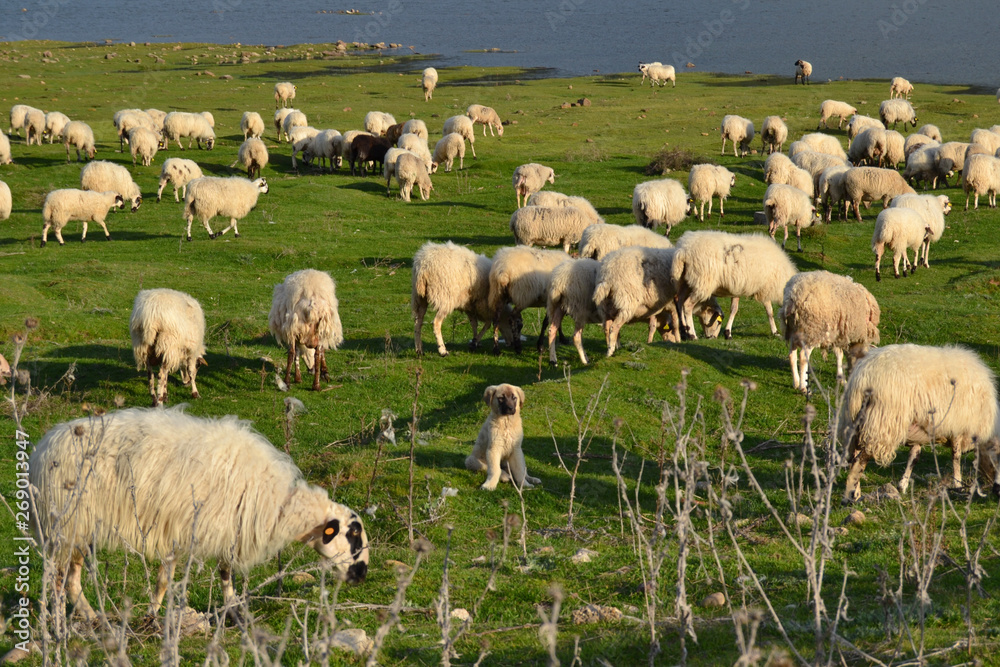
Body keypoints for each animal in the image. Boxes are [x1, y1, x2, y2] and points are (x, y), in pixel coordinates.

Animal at [29, 406, 368, 622]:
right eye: (353, 534)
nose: (362, 574)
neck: (279, 503)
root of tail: (41, 451)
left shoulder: (216, 529)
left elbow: (216, 575)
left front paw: (231, 610)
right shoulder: (192, 528)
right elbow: (177, 578)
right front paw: (155, 615)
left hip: (80, 528)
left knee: (70, 581)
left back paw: (91, 618)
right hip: (66, 523)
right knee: (59, 580)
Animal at [595, 246, 723, 356]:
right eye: (718, 323)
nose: (712, 338)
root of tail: (607, 276)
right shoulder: (673, 305)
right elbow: (676, 324)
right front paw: (679, 340)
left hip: (606, 306)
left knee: (607, 328)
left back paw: (614, 347)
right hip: (626, 302)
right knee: (614, 327)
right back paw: (610, 351)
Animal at [838, 344, 1000, 502]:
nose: (996, 491)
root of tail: (862, 377)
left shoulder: (920, 430)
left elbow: (914, 457)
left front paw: (903, 485)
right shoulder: (958, 425)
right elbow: (956, 456)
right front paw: (958, 484)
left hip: (855, 424)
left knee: (854, 457)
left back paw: (856, 493)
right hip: (881, 423)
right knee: (858, 462)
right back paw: (849, 497)